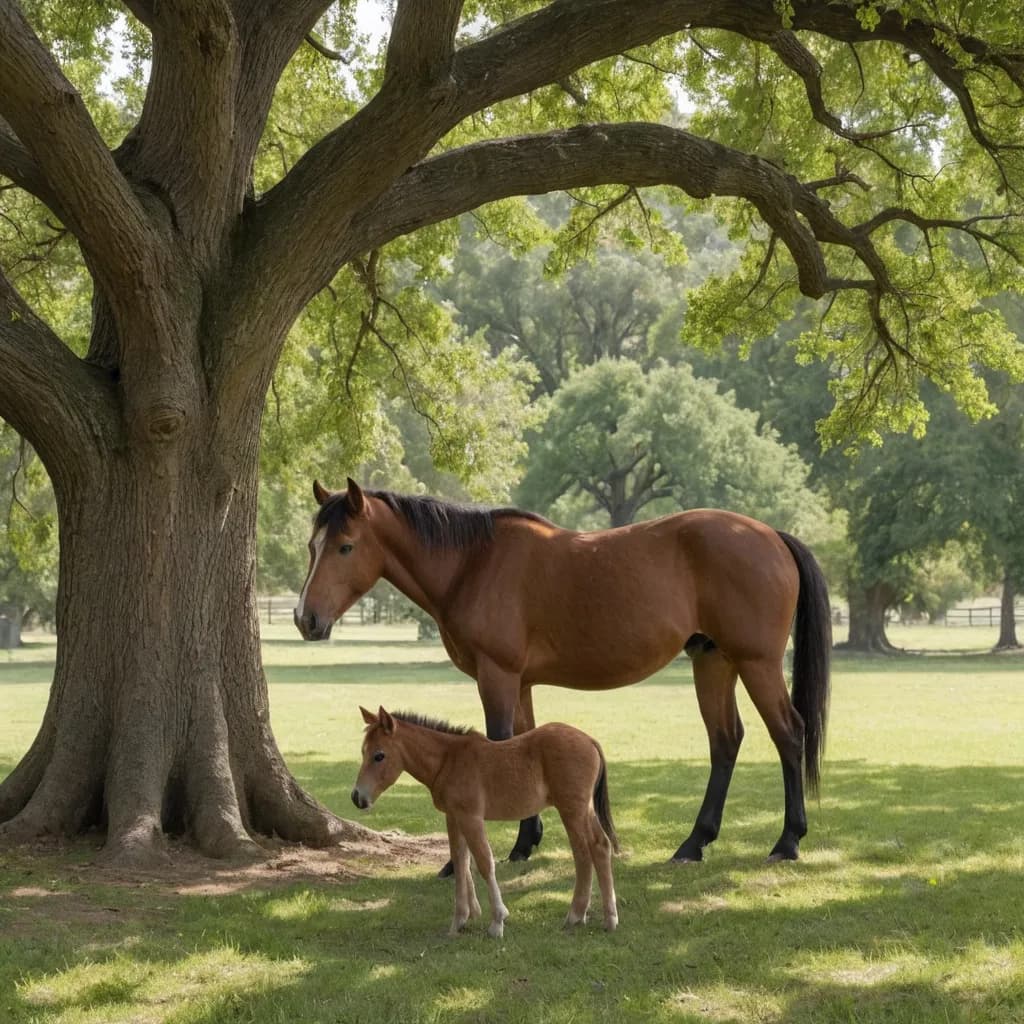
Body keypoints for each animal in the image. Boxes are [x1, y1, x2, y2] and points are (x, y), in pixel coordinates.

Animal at [297, 478, 831, 867]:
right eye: (311, 545)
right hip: (713, 661)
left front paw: (508, 846)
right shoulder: (521, 683)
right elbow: (522, 744)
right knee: (725, 741)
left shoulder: (497, 676)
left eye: (345, 546)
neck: (474, 564)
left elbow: (499, 744)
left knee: (789, 733)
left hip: (756, 663)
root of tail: (771, 535)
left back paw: (787, 841)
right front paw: (526, 841)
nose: (306, 619)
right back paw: (693, 844)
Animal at [352, 706, 619, 936]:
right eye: (363, 752)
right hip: (583, 810)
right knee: (598, 847)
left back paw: (585, 916)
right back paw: (598, 917)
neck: (448, 760)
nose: (357, 797)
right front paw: (461, 920)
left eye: (379, 755)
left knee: (586, 851)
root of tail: (589, 740)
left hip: (571, 809)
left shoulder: (471, 817)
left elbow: (483, 863)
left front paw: (497, 922)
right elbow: (461, 862)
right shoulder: (454, 817)